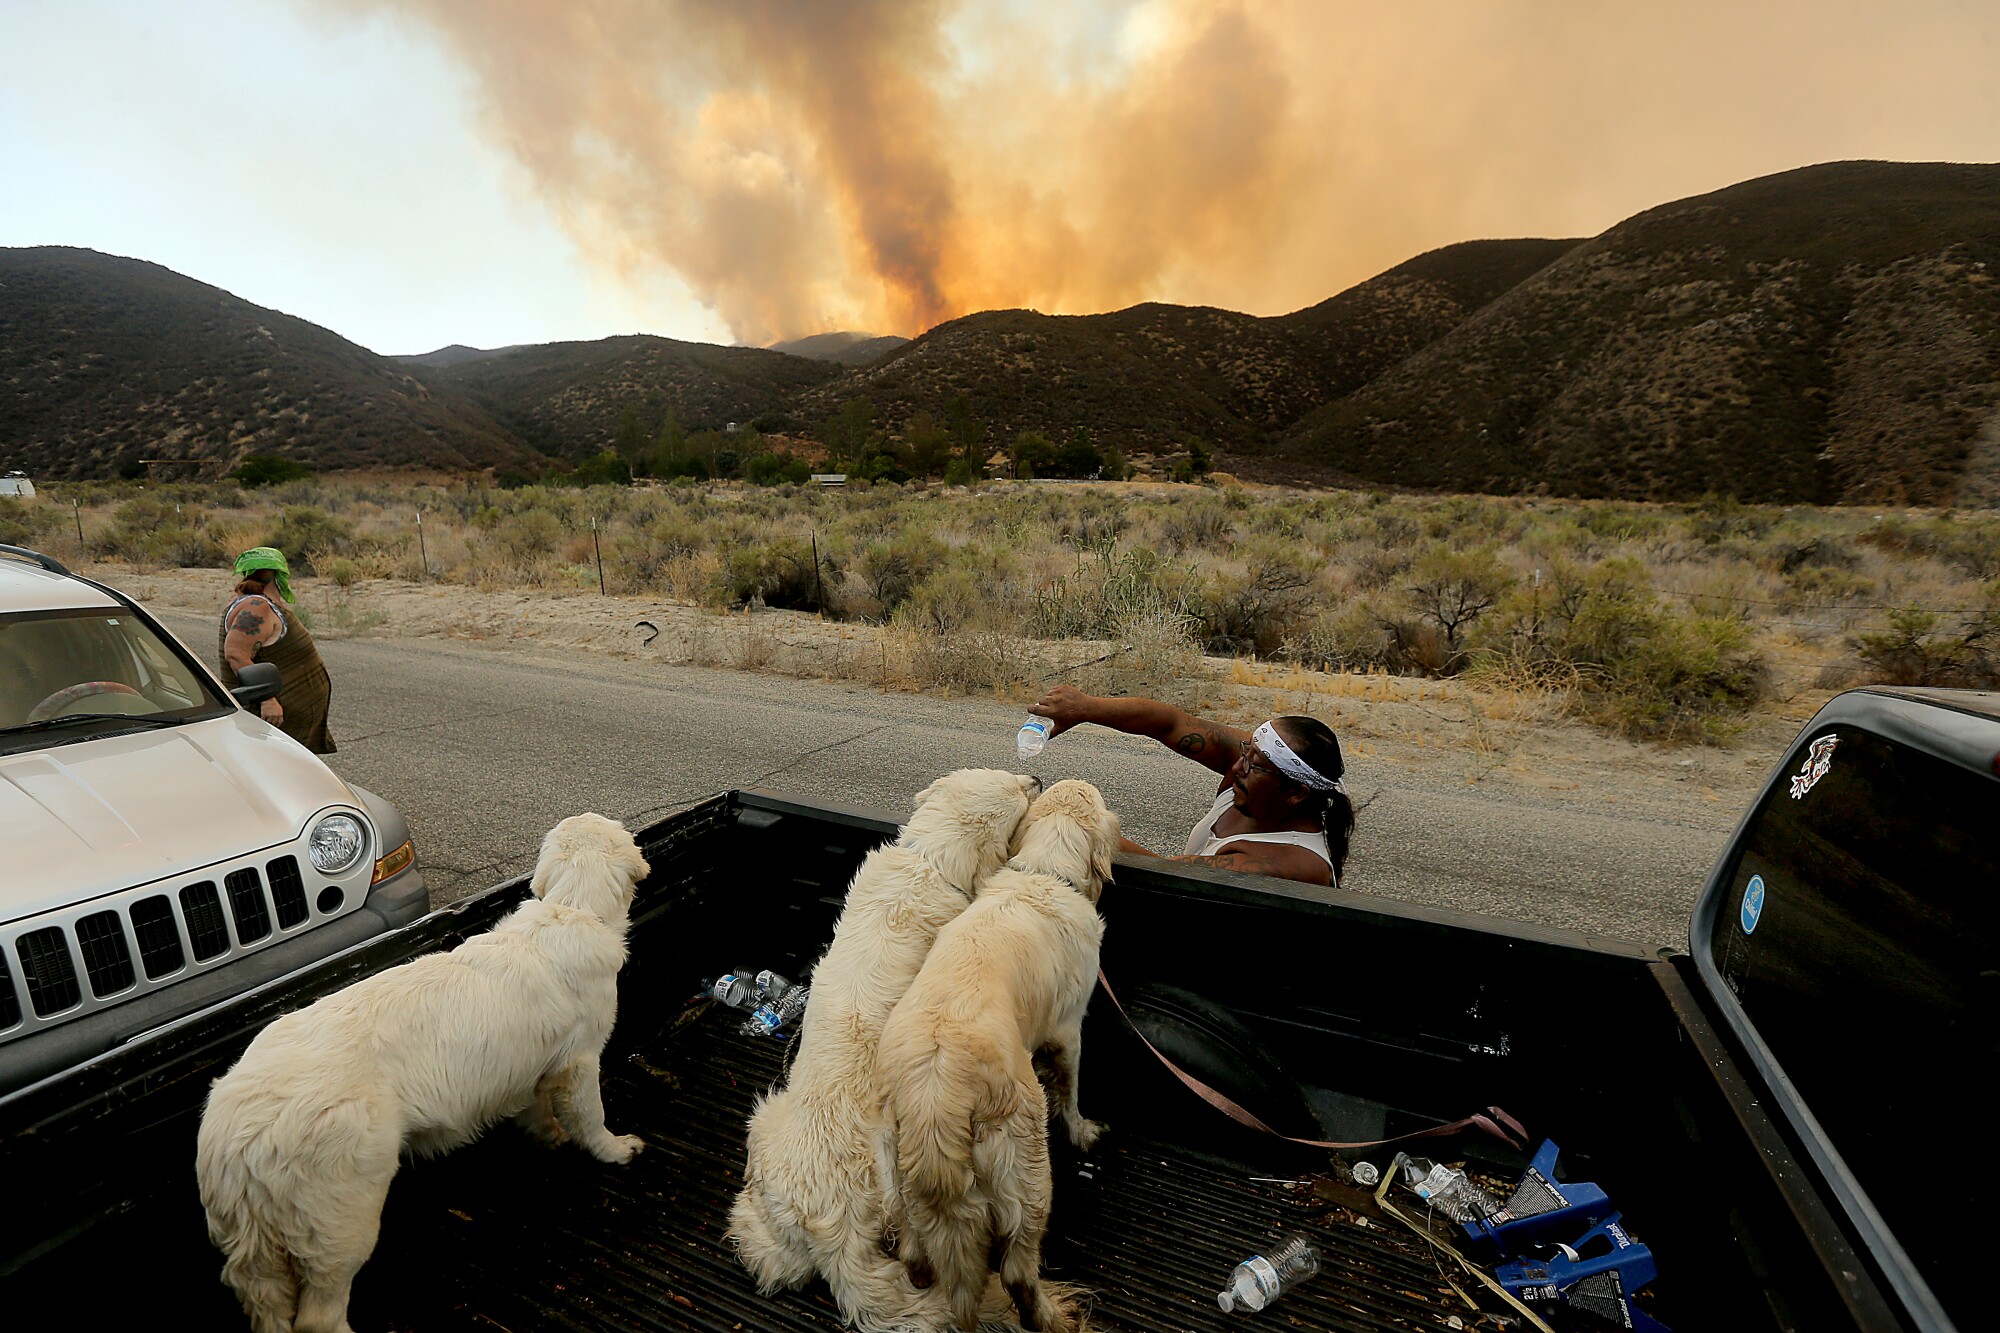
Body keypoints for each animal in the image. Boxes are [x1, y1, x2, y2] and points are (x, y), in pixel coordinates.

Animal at [193, 808, 648, 1328]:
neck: (571, 907)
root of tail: (233, 1138)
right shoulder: (580, 1060)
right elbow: (590, 1117)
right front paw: (616, 1149)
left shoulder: (532, 1065)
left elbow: (535, 1104)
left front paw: (548, 1133)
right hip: (342, 1216)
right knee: (319, 1315)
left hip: (260, 1258)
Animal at [880, 780, 1120, 1328]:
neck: (1044, 872)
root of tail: (936, 1099)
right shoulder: (1069, 1031)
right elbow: (1071, 1092)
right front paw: (1083, 1131)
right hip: (1024, 1160)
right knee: (1017, 1271)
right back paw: (1051, 1318)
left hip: (897, 1167)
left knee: (914, 1252)